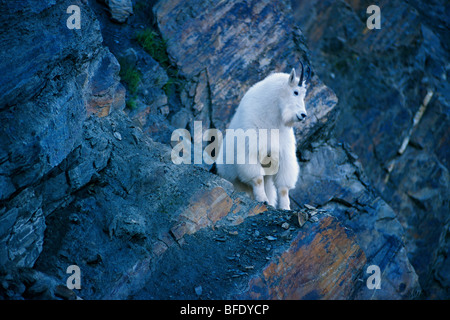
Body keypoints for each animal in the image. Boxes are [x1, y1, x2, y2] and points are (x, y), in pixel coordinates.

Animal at [217, 63, 310, 211]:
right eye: (295, 92)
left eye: (304, 94)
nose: (303, 115)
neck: (272, 118)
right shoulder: (250, 149)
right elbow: (257, 178)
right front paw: (262, 200)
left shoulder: (284, 153)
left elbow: (283, 188)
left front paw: (285, 207)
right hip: (232, 178)